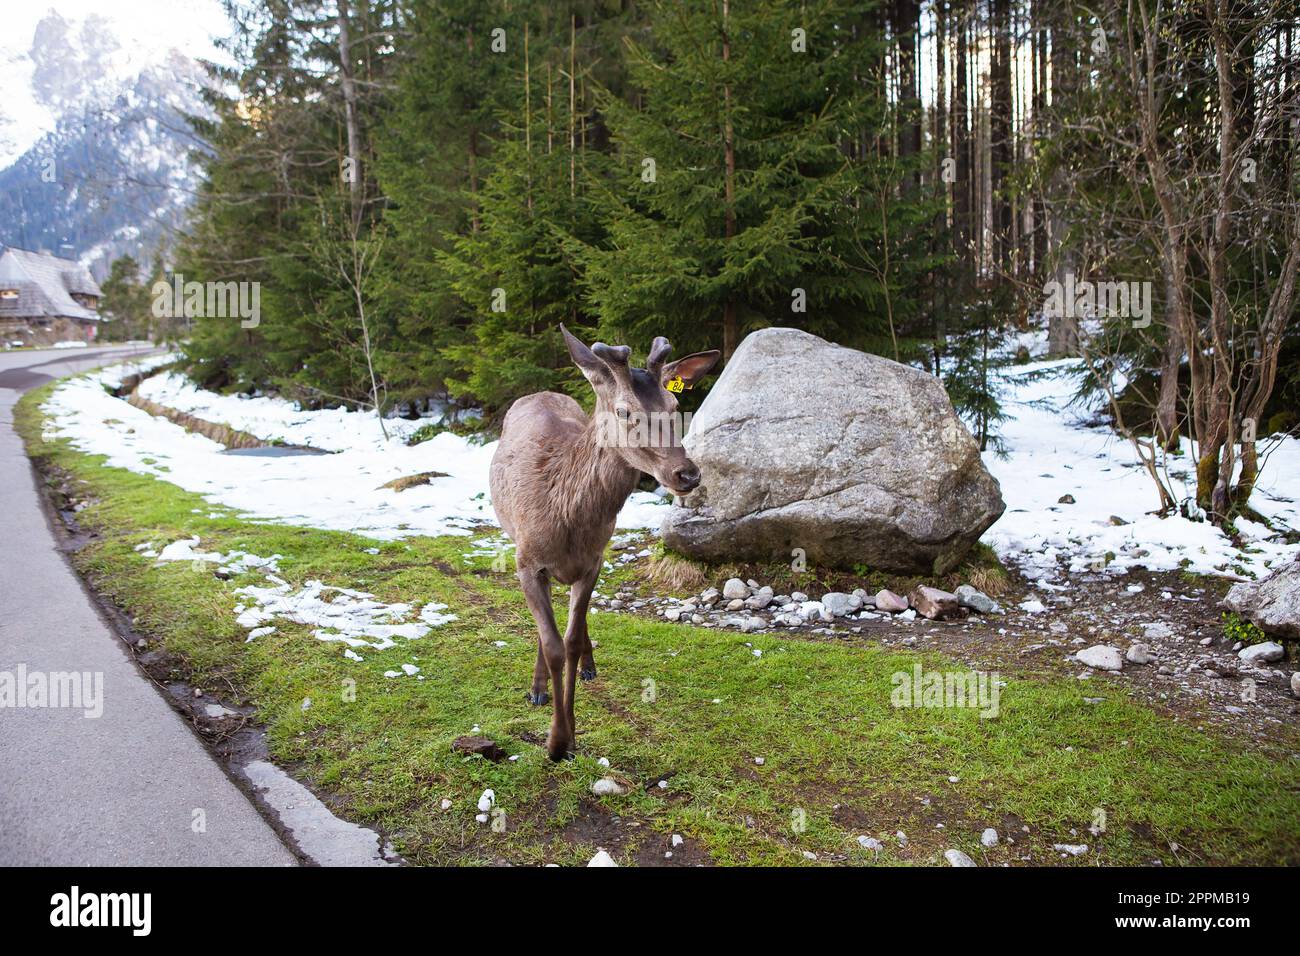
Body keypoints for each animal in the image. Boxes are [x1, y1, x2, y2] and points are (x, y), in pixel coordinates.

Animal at [491, 325, 728, 759]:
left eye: (674, 404)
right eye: (623, 410)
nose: (686, 474)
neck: (564, 515)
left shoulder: (593, 562)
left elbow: (569, 641)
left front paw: (569, 734)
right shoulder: (526, 562)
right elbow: (552, 643)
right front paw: (556, 740)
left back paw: (587, 665)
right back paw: (538, 689)